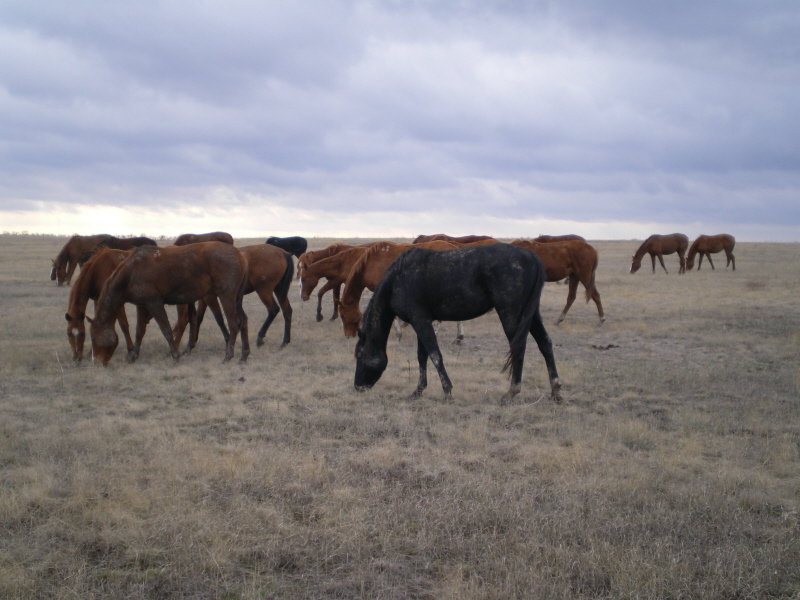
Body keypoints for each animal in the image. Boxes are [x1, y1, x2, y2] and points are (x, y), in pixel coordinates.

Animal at [89, 241, 248, 364]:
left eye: (93, 338)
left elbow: (166, 329)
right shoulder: (142, 305)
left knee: (234, 324)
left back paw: (228, 356)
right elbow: (139, 331)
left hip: (226, 296)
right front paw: (134, 355)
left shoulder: (154, 303)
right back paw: (243, 355)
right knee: (243, 321)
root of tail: (239, 255)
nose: (96, 361)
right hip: (236, 299)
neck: (132, 272)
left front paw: (175, 356)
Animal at [356, 244, 564, 404]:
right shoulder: (423, 321)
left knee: (518, 347)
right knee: (545, 343)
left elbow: (435, 355)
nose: (357, 386)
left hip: (511, 314)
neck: (398, 279)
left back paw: (511, 392)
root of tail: (532, 257)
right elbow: (422, 356)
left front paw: (447, 391)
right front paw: (418, 391)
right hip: (531, 313)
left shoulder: (420, 321)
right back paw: (555, 391)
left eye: (359, 355)